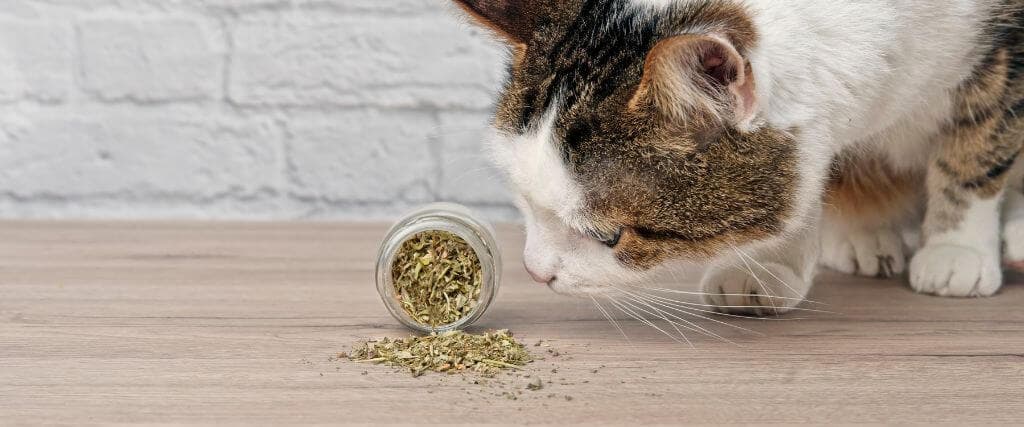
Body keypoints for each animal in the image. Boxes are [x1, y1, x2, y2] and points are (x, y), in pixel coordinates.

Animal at [448, 0, 1024, 313]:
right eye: (522, 202)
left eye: (609, 236)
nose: (534, 272)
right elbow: (808, 177)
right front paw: (767, 264)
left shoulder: (1003, 46)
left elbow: (977, 150)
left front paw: (956, 250)